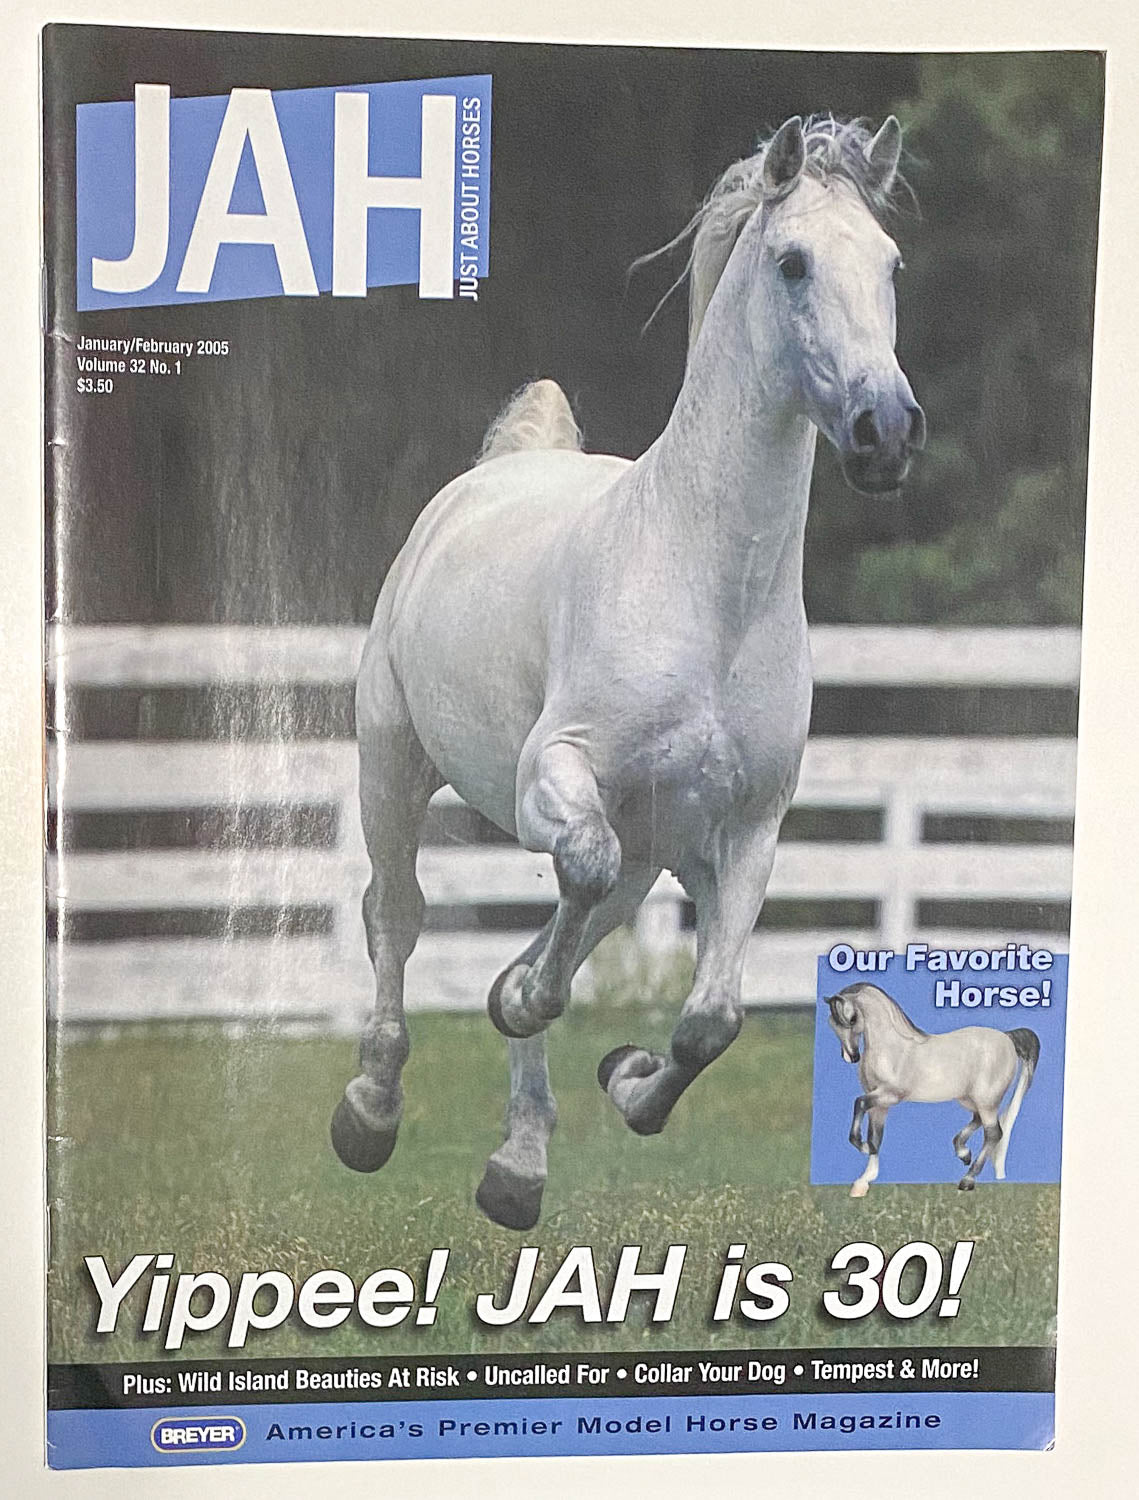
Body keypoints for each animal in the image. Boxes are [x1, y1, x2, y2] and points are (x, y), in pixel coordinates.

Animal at [330, 114, 926, 1230]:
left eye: (889, 264)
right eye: (791, 262)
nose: (888, 434)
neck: (704, 594)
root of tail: (501, 467)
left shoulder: (743, 833)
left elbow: (710, 1020)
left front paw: (624, 1077)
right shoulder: (556, 775)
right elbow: (560, 907)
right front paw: (518, 1010)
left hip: (654, 850)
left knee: (562, 923)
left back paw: (516, 1170)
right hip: (391, 763)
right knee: (398, 914)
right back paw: (370, 1112)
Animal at [823, 984, 1040, 1196]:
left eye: (852, 1018)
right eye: (832, 1024)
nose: (852, 1056)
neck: (891, 1049)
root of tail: (1007, 1038)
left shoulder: (889, 1095)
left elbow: (859, 1103)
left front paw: (862, 1147)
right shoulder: (880, 1104)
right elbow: (875, 1137)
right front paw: (863, 1182)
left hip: (987, 1100)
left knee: (993, 1133)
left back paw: (967, 1180)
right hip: (970, 1099)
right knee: (979, 1122)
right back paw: (963, 1154)